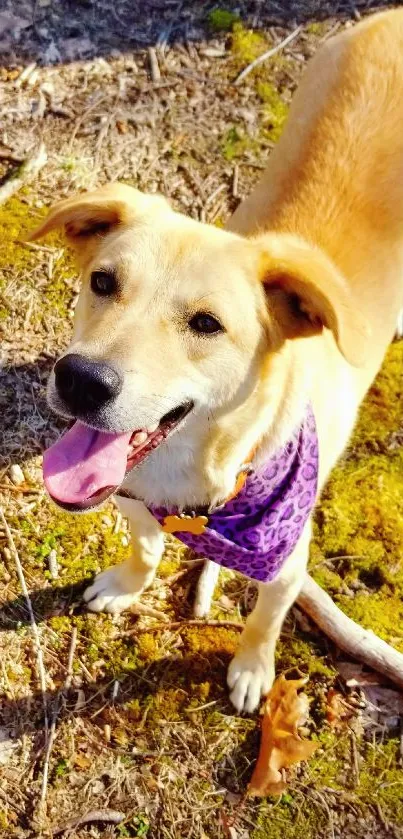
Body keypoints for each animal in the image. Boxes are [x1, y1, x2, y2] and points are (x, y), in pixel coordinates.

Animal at [30, 9, 403, 712]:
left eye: (207, 324)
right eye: (102, 282)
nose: (81, 381)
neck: (196, 479)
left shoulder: (286, 565)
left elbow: (263, 620)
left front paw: (253, 669)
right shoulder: (133, 500)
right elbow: (146, 549)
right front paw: (126, 584)